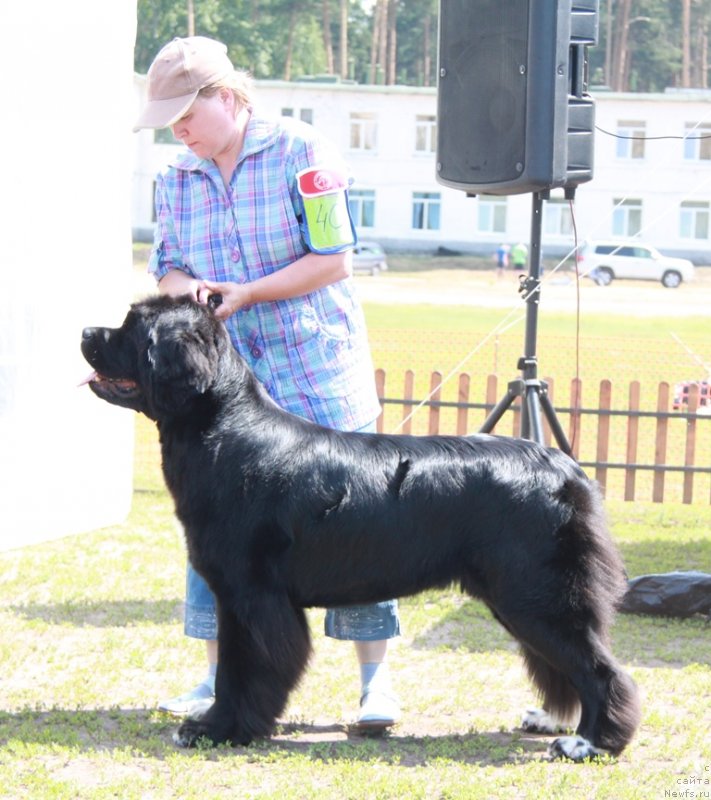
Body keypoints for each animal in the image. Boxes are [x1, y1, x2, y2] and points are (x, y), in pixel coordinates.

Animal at [80, 296, 644, 764]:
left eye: (131, 327)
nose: (85, 330)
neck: (224, 429)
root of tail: (567, 470)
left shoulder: (251, 594)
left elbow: (241, 668)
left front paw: (219, 729)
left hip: (535, 592)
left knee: (600, 668)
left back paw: (589, 743)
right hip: (519, 597)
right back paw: (551, 720)